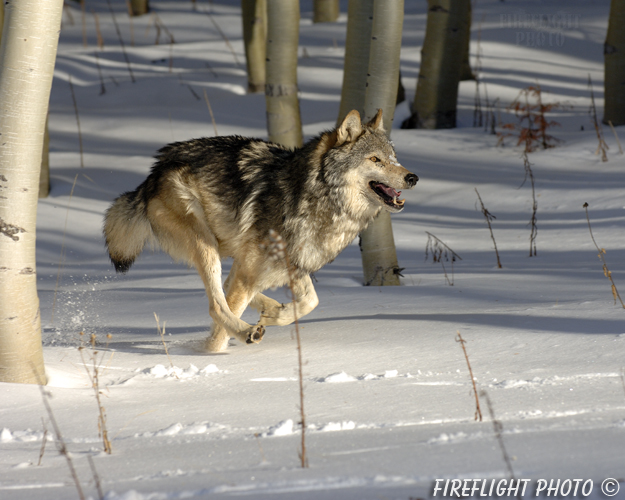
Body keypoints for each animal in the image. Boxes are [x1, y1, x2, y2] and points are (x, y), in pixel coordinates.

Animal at [103, 109, 420, 352]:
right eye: (375, 159)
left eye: (393, 157)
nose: (413, 177)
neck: (314, 196)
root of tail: (152, 173)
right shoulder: (260, 268)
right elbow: (220, 331)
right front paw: (211, 356)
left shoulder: (295, 262)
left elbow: (310, 301)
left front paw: (277, 314)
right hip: (206, 243)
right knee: (217, 303)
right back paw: (246, 330)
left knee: (227, 287)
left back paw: (267, 309)